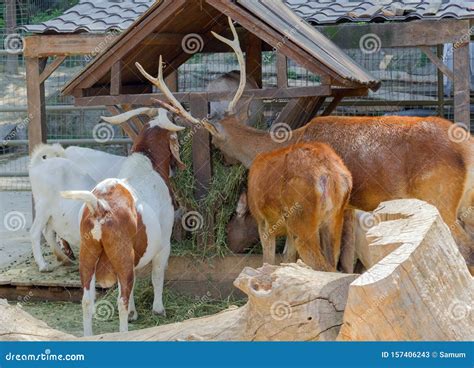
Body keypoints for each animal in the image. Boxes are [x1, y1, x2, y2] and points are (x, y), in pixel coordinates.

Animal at [61, 110, 183, 334]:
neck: (147, 163)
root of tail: (99, 206)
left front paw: (136, 313)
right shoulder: (164, 243)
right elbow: (157, 274)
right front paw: (158, 309)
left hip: (88, 255)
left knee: (87, 300)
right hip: (121, 252)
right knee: (121, 301)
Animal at [248, 142, 352, 270]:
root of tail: (330, 172)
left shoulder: (263, 221)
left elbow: (268, 260)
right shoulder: (286, 230)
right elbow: (287, 257)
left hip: (301, 220)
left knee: (320, 264)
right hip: (334, 219)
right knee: (332, 263)